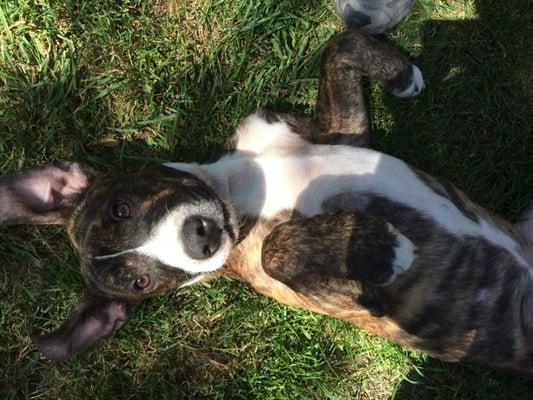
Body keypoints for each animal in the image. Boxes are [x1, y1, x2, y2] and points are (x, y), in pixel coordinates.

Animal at [1, 30, 532, 376]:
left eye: (120, 207)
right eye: (140, 283)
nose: (201, 240)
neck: (238, 187)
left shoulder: (339, 132)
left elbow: (340, 45)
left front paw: (402, 75)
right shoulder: (352, 298)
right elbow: (280, 247)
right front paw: (380, 246)